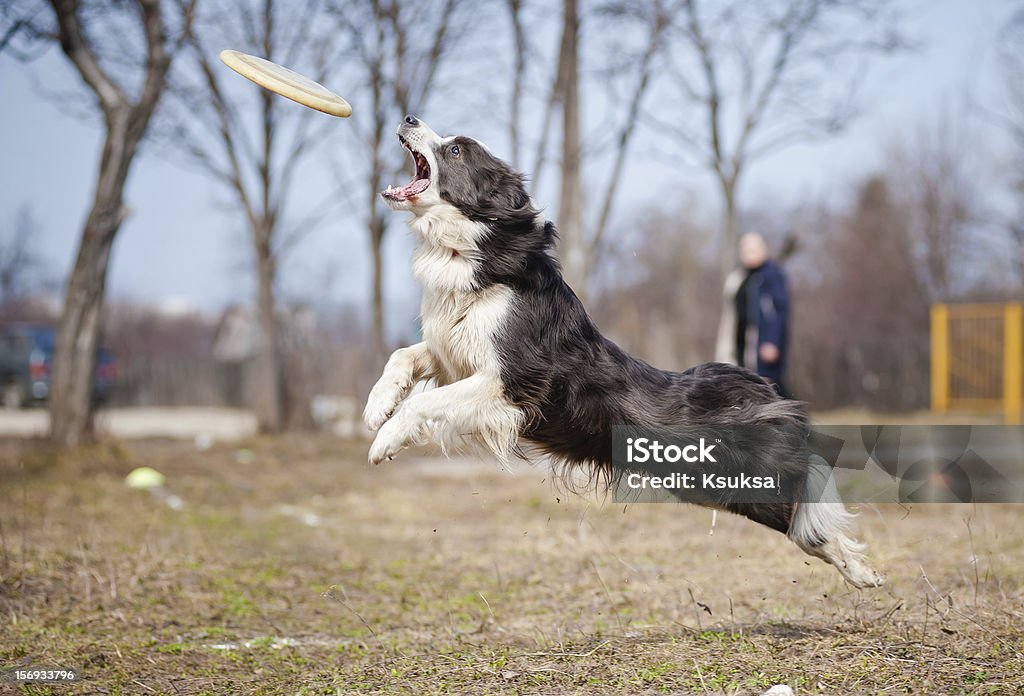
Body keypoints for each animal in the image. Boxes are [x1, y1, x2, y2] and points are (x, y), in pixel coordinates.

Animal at [364, 114, 884, 585]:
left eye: (455, 149)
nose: (408, 117)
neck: (475, 248)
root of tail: (760, 387)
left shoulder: (512, 381)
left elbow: (426, 402)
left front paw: (384, 441)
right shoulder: (454, 352)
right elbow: (403, 356)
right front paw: (376, 408)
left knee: (805, 505)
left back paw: (862, 570)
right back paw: (861, 573)